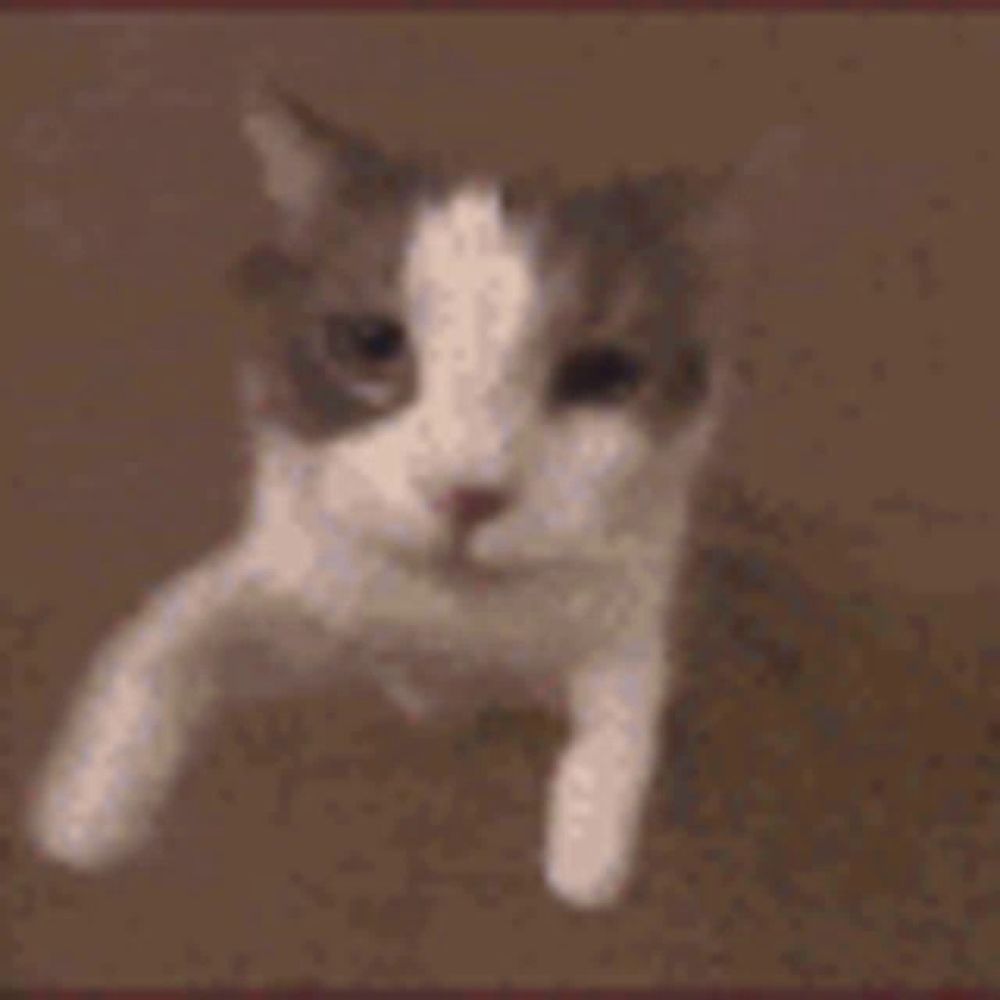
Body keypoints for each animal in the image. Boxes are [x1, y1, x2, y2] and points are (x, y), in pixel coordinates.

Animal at [25, 86, 788, 912]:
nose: (467, 494)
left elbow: (622, 712)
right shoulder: (296, 592)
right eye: (370, 343)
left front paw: (585, 854)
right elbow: (156, 643)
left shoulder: (627, 611)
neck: (444, 629)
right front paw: (83, 814)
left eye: (603, 374)